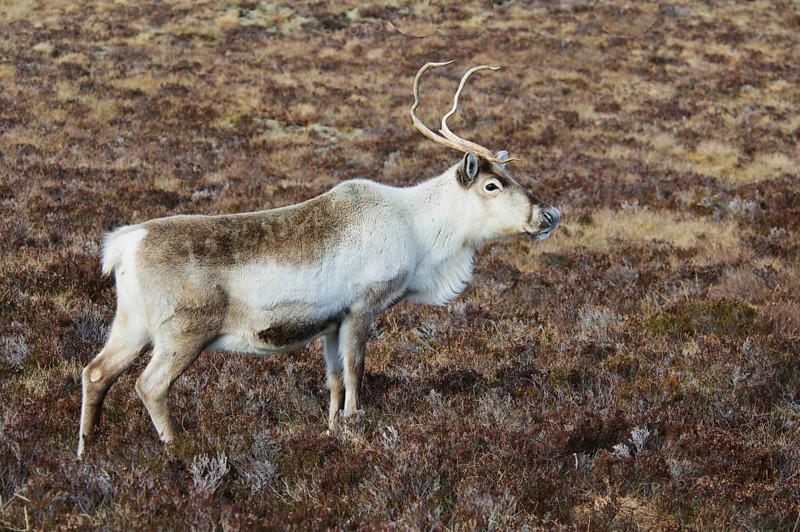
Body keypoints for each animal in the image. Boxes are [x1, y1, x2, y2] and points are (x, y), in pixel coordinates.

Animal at [77, 60, 560, 457]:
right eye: (492, 185)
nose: (549, 215)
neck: (418, 231)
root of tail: (125, 243)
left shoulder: (330, 323)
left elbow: (332, 381)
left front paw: (330, 432)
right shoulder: (362, 309)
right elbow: (355, 374)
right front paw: (355, 428)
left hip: (131, 324)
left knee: (95, 372)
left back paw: (86, 450)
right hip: (182, 333)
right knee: (149, 385)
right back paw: (176, 448)